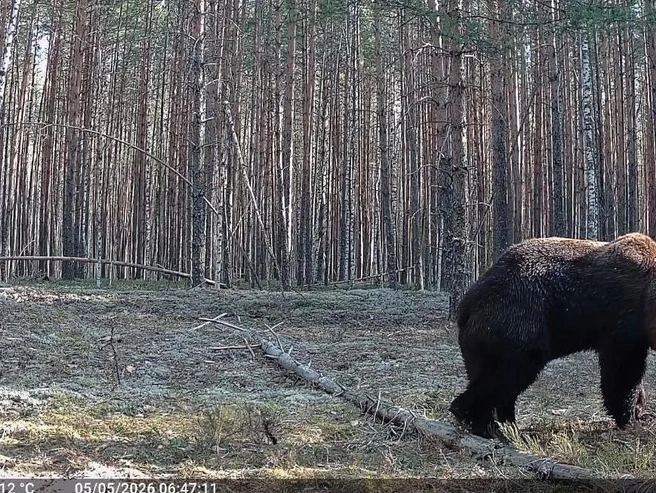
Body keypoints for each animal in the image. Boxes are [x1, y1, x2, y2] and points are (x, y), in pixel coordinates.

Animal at [449, 232, 656, 438]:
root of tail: (468, 303)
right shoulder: (620, 319)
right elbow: (623, 372)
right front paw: (629, 416)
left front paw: (639, 410)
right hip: (516, 317)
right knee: (507, 373)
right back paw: (482, 423)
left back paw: (506, 425)